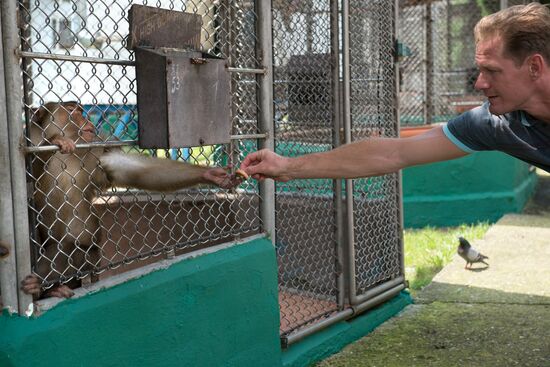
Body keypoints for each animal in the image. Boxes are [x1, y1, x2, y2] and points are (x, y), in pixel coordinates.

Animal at [21, 100, 246, 300]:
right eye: (71, 111)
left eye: (79, 111)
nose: (87, 120)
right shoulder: (31, 138)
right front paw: (55, 141)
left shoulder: (97, 146)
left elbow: (128, 168)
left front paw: (211, 174)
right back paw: (42, 287)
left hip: (90, 261)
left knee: (72, 247)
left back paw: (47, 286)